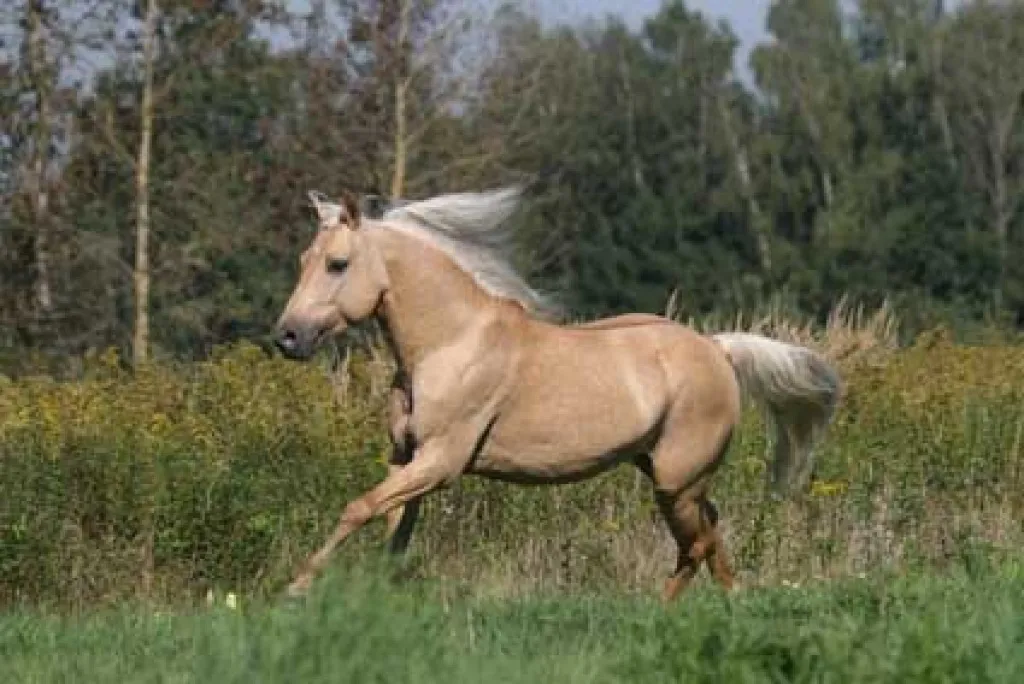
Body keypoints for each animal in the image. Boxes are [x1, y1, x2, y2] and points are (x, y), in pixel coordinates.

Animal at [273, 186, 842, 600]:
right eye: (302, 259)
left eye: (338, 264)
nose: (287, 337)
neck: (449, 343)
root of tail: (718, 350)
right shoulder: (407, 459)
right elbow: (392, 529)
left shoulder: (441, 461)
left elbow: (358, 508)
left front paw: (296, 589)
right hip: (668, 474)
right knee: (710, 534)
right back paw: (731, 605)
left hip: (676, 481)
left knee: (696, 544)